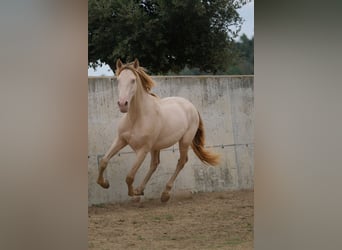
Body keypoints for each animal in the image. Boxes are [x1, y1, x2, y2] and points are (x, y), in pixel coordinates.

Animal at [96, 59, 220, 203]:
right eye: (118, 80)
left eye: (133, 80)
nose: (122, 104)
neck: (136, 118)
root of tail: (191, 106)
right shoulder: (121, 140)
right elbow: (104, 161)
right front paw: (104, 183)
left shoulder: (142, 150)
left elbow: (129, 176)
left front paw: (134, 194)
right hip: (156, 147)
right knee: (155, 164)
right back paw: (141, 189)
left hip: (184, 141)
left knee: (181, 162)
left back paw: (165, 193)